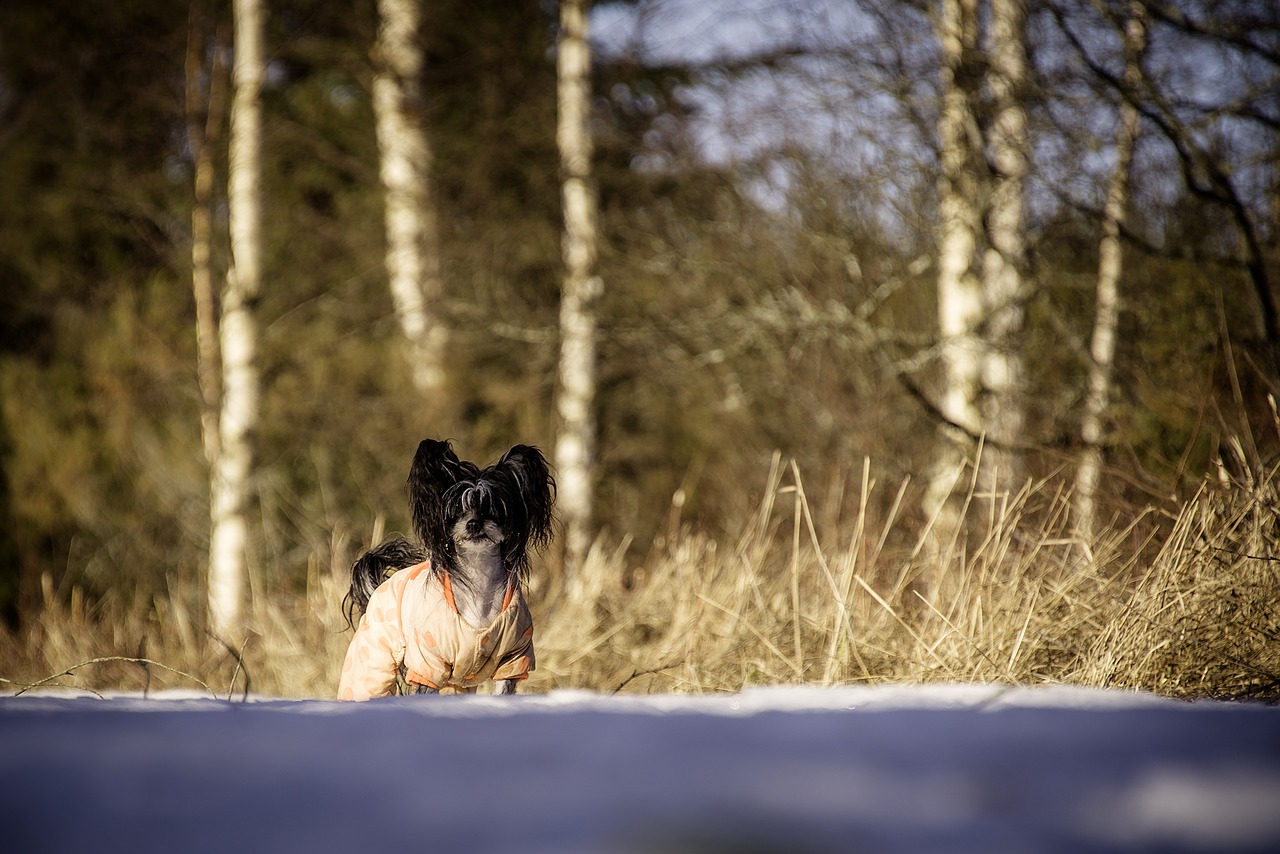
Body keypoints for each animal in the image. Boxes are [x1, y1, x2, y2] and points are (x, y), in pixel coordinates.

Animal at [340, 440, 555, 701]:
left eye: (493, 509)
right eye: (456, 511)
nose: (474, 523)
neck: (479, 577)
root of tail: (377, 587)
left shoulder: (514, 659)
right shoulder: (428, 663)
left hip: (456, 684)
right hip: (374, 658)